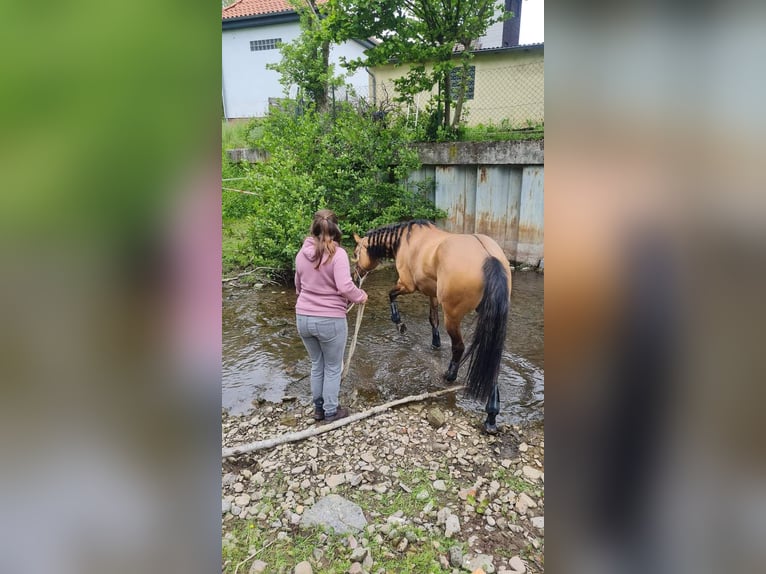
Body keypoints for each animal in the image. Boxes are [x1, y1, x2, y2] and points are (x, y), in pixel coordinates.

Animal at [352, 220, 512, 434]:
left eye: (356, 252)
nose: (355, 277)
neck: (405, 241)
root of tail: (489, 256)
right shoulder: (431, 293)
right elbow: (432, 319)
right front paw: (435, 342)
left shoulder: (406, 285)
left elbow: (391, 295)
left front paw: (399, 323)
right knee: (491, 355)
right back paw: (491, 415)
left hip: (452, 316)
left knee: (459, 347)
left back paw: (450, 376)